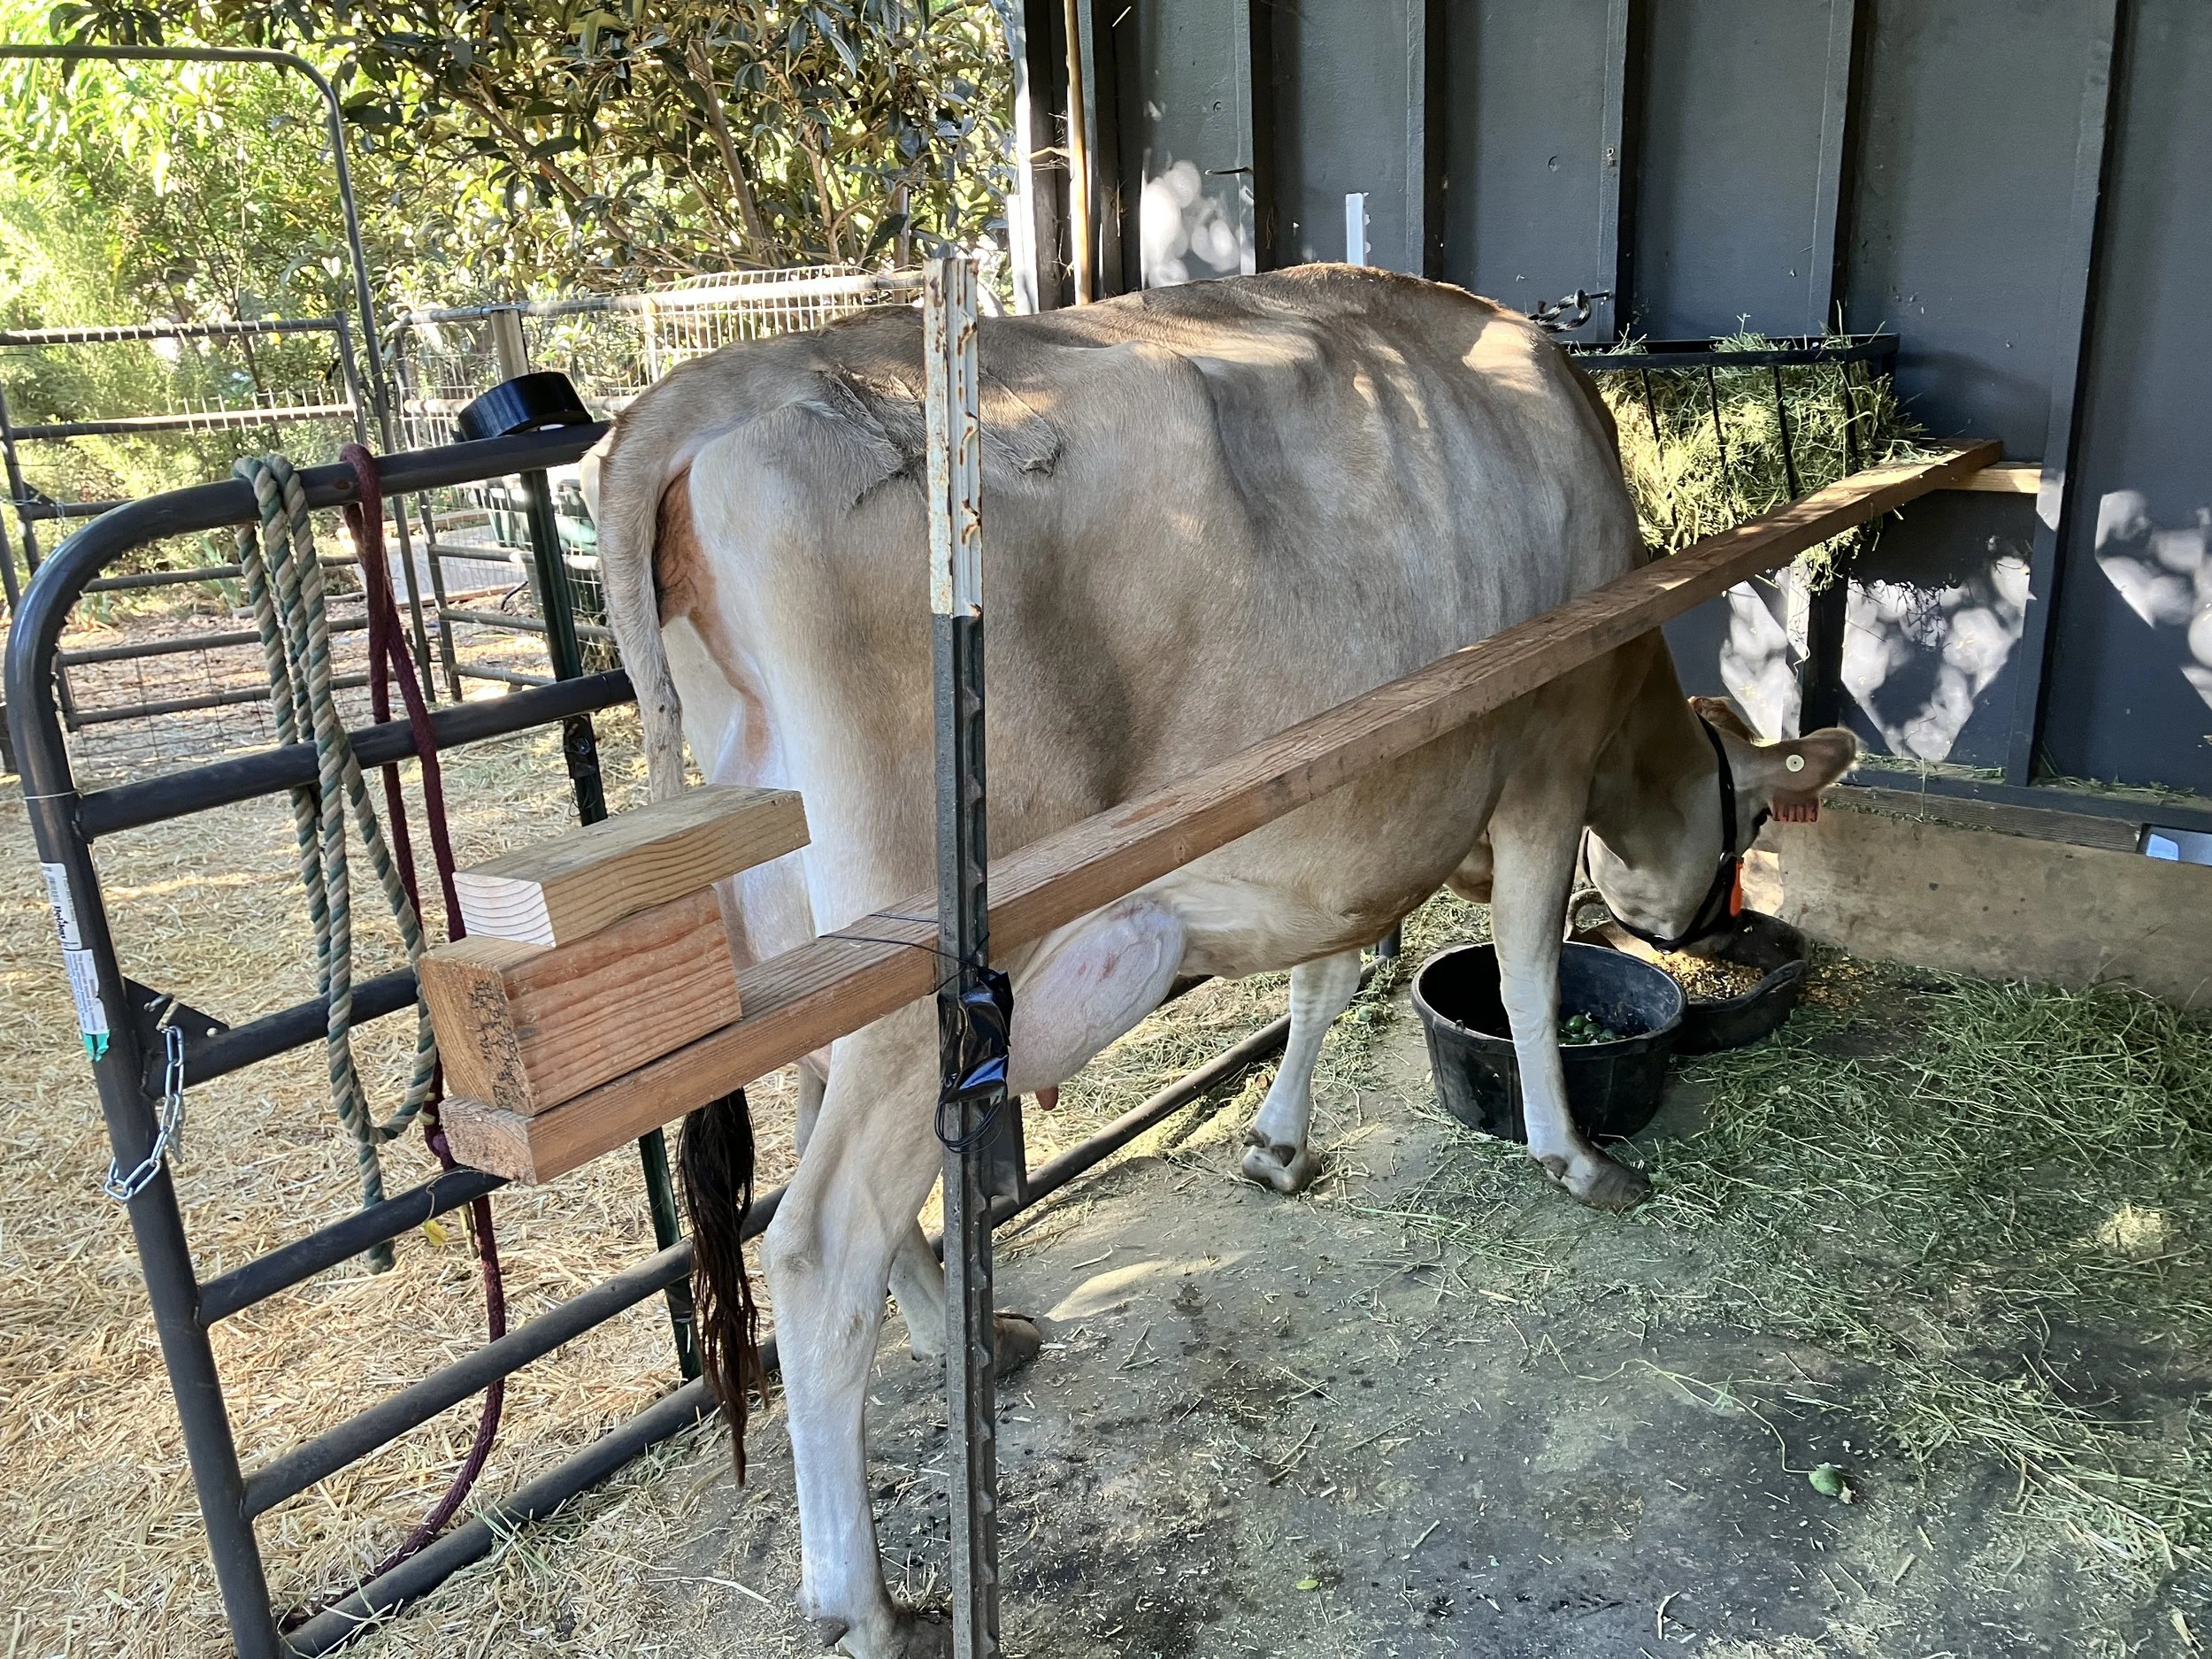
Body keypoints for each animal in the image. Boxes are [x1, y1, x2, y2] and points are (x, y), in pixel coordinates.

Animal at [587, 265, 1856, 1655]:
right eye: (1750, 822)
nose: (1714, 931)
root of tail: (719, 384)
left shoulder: (1346, 829)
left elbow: (1325, 976)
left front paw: (1277, 1141)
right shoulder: (1542, 759)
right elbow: (1527, 967)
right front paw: (1571, 1151)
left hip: (799, 935)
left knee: (819, 1166)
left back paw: (977, 1340)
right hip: (920, 973)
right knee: (819, 1243)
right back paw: (867, 1604)